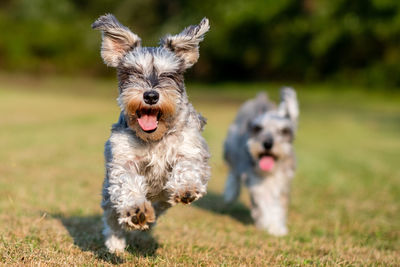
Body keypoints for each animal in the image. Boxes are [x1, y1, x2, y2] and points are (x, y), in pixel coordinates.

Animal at [92, 14, 211, 253]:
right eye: (133, 72)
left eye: (170, 75)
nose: (150, 95)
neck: (155, 139)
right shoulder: (124, 162)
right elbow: (128, 186)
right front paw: (136, 212)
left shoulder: (191, 149)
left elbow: (187, 167)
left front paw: (186, 188)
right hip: (108, 197)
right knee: (112, 219)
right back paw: (116, 243)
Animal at [223, 88, 298, 237]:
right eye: (258, 128)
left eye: (283, 130)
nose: (268, 144)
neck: (270, 172)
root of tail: (261, 97)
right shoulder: (257, 183)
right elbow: (266, 203)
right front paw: (270, 225)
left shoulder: (282, 183)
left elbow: (278, 205)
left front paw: (277, 227)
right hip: (232, 148)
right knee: (233, 171)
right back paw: (230, 193)